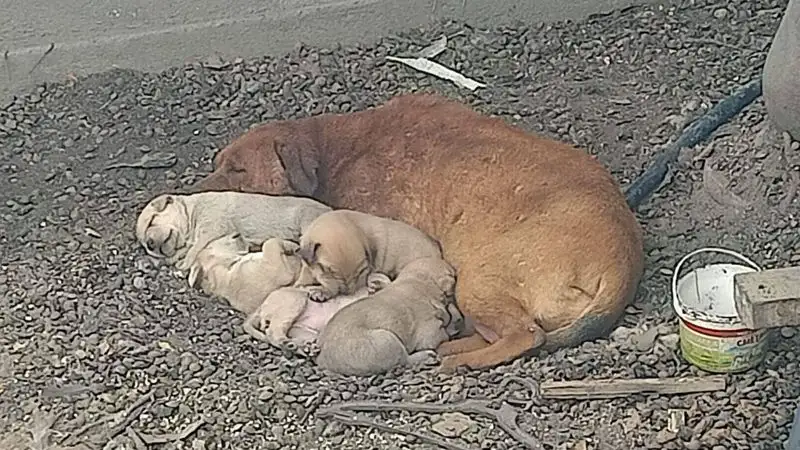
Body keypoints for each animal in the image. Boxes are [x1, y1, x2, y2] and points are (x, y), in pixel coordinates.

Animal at [134, 190, 332, 270]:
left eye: (151, 221)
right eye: (145, 245)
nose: (150, 244)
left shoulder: (211, 224)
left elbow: (194, 248)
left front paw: (183, 264)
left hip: (307, 220)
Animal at [244, 270, 394, 352]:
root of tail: (261, 306)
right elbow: (380, 278)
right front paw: (376, 285)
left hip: (305, 331)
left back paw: (303, 347)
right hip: (295, 300)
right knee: (272, 331)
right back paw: (287, 343)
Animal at [294, 208, 444, 300]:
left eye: (361, 271)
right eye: (329, 270)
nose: (348, 292)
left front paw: (322, 291)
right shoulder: (309, 265)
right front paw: (299, 284)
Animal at [312, 256, 462, 376]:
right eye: (453, 274)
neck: (417, 280)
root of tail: (322, 360)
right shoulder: (429, 329)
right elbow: (439, 335)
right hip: (385, 342)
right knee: (403, 359)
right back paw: (426, 356)